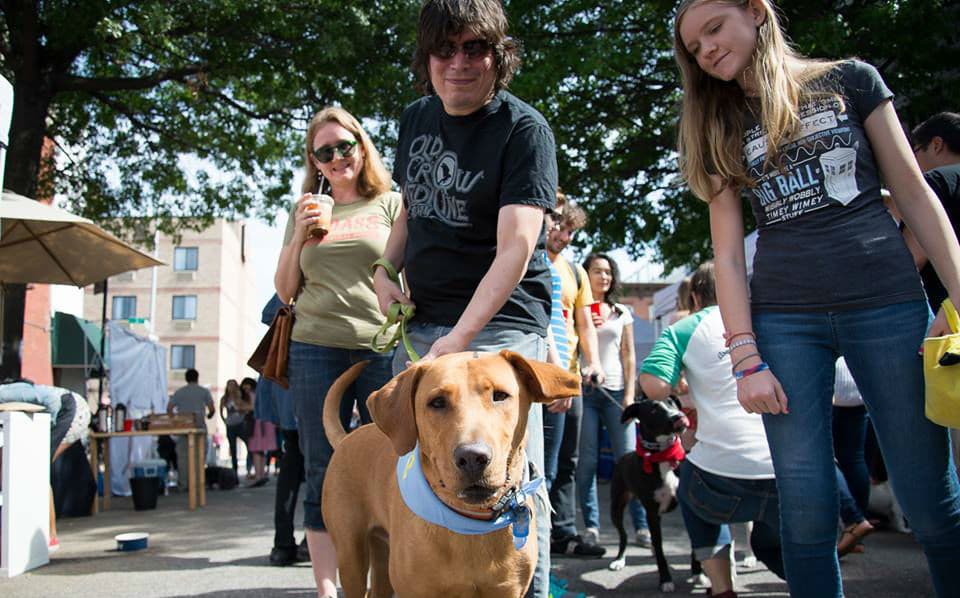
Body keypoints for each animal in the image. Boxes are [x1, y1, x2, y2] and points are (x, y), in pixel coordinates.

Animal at [320, 352, 576, 598]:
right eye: (437, 402)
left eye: (500, 395)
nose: (472, 457)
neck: (471, 522)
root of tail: (347, 437)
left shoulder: (507, 590)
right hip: (351, 556)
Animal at [612, 396, 688, 592]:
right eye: (653, 409)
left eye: (672, 402)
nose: (678, 416)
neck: (662, 456)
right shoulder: (653, 513)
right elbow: (660, 548)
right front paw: (666, 580)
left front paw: (699, 574)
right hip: (616, 506)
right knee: (623, 535)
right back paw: (619, 560)